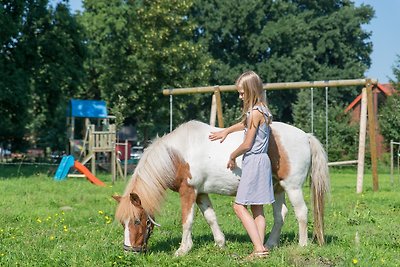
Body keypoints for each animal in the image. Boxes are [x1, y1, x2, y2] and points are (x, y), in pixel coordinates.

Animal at [113, 120, 332, 256]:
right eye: (123, 223)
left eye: (137, 220)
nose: (129, 251)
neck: (178, 155)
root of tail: (306, 136)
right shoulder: (201, 193)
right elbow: (210, 217)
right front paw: (220, 243)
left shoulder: (188, 191)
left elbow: (187, 221)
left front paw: (183, 250)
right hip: (278, 188)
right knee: (281, 215)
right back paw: (269, 244)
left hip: (292, 187)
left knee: (302, 212)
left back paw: (302, 245)